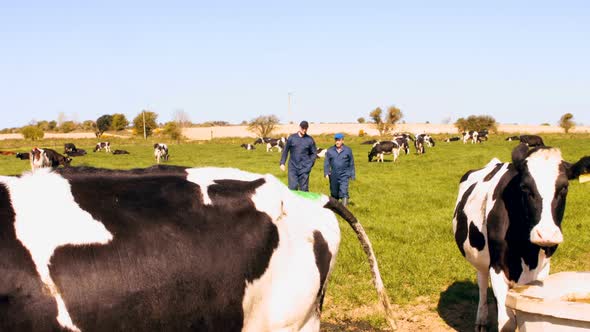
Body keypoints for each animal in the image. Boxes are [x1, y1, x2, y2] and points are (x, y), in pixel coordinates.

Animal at [456, 144, 590, 330]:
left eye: (564, 187)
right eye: (525, 187)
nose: (546, 234)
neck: (526, 251)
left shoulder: (542, 269)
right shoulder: (497, 265)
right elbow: (507, 322)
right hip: (480, 258)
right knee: (482, 282)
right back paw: (481, 320)